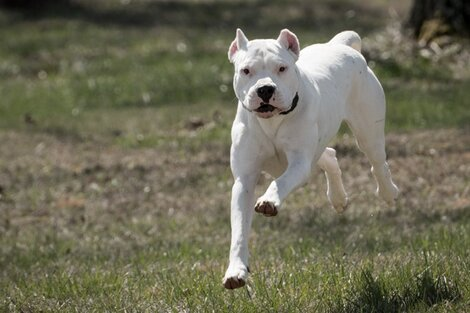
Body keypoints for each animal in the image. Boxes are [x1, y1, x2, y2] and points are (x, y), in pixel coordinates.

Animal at [222, 28, 398, 288]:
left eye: (282, 68)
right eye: (246, 71)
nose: (265, 89)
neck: (272, 121)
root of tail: (339, 45)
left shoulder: (299, 163)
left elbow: (281, 182)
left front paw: (269, 201)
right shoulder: (244, 180)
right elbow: (239, 231)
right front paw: (236, 271)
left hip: (368, 131)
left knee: (378, 163)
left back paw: (388, 192)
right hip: (320, 145)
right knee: (330, 156)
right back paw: (338, 198)